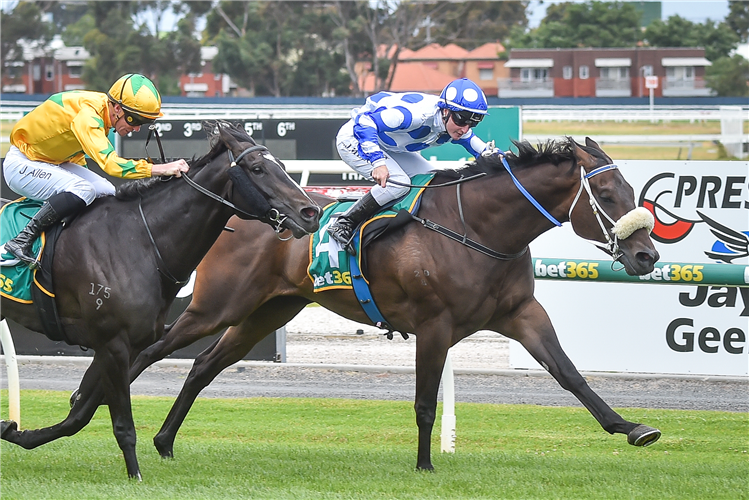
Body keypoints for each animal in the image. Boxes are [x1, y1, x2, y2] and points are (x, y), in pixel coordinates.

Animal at [0, 123, 318, 478]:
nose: (311, 212)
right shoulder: (112, 343)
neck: (139, 241)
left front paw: (16, 431)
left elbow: (80, 413)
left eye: (284, 166)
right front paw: (135, 475)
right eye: (258, 168)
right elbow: (120, 422)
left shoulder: (125, 344)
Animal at [125, 136, 656, 468]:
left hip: (266, 312)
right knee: (152, 350)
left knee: (203, 366)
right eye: (605, 193)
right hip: (217, 306)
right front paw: (424, 465)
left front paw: (631, 427)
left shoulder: (521, 313)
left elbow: (569, 373)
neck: (477, 228)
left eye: (632, 189)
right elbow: (424, 402)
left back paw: (164, 442)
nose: (646, 254)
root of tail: (239, 213)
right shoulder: (435, 325)